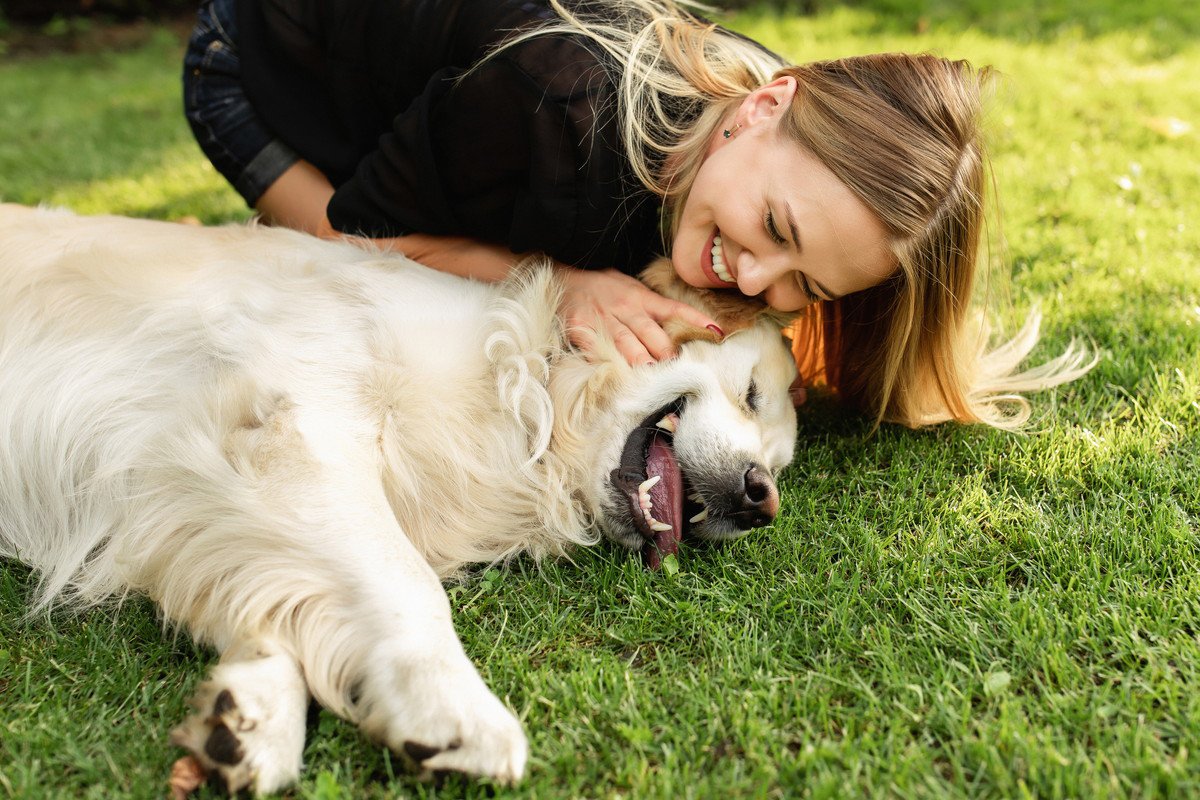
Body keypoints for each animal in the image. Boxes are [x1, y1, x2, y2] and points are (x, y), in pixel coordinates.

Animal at [0, 205, 801, 796]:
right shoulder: (293, 419)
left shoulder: (202, 485)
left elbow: (268, 592)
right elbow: (405, 583)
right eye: (752, 394)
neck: (526, 385)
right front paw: (455, 711)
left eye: (779, 462)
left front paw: (251, 713)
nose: (762, 499)